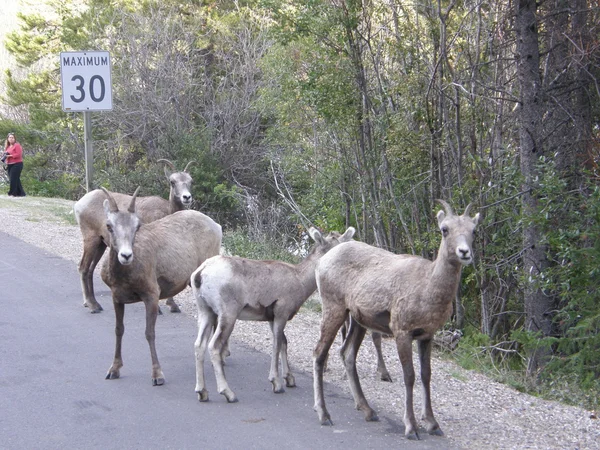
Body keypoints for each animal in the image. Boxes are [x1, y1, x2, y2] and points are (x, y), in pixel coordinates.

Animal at [72, 160, 195, 314]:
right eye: (172, 182)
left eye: (190, 181)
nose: (187, 197)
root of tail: (80, 203)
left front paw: (173, 306)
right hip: (91, 239)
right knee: (83, 268)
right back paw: (92, 306)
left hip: (101, 244)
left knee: (90, 270)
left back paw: (93, 303)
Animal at [101, 186, 223, 386]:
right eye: (109, 226)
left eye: (137, 226)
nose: (126, 256)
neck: (126, 275)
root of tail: (217, 227)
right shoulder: (117, 298)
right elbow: (119, 330)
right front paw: (114, 370)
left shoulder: (151, 296)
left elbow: (149, 333)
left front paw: (157, 375)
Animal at [191, 227, 356, 402]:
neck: (300, 280)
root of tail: (200, 274)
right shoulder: (281, 315)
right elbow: (276, 345)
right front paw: (276, 383)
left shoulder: (272, 318)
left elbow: (283, 343)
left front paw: (289, 379)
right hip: (227, 314)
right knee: (214, 346)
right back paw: (229, 393)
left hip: (206, 312)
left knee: (199, 345)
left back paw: (202, 392)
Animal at [314, 202, 478, 442]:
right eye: (445, 229)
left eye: (473, 231)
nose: (464, 252)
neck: (429, 288)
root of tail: (323, 261)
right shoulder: (402, 332)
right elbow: (409, 376)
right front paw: (411, 427)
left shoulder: (426, 336)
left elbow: (426, 376)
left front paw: (433, 424)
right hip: (334, 310)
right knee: (319, 353)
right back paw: (324, 415)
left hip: (358, 321)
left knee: (347, 354)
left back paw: (368, 411)